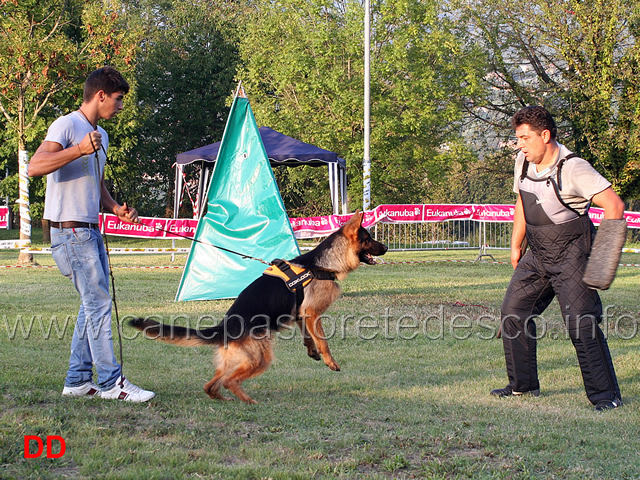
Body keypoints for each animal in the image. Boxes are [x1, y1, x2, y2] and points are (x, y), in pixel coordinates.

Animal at [130, 212, 384, 404]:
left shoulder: (301, 315)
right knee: (229, 381)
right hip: (259, 358)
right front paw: (330, 361)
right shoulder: (312, 314)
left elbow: (308, 336)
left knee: (210, 385)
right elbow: (323, 340)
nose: (386, 247)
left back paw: (226, 400)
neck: (322, 264)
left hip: (234, 362)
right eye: (369, 238)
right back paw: (249, 401)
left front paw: (311, 351)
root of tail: (223, 328)